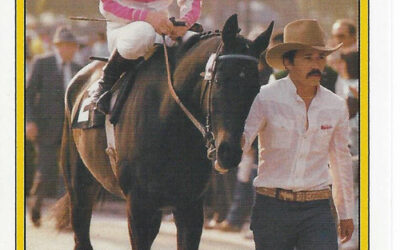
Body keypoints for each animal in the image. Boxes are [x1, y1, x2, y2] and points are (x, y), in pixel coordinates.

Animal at [56, 14, 274, 250]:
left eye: (256, 88)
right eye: (219, 81)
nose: (230, 152)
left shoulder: (189, 205)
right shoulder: (139, 205)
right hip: (79, 186)